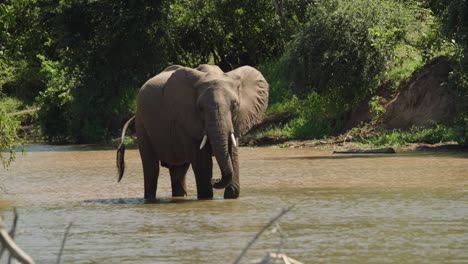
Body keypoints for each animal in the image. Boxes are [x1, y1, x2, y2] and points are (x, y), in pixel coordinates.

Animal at [116, 64, 268, 198]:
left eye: (235, 105)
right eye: (200, 108)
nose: (215, 179)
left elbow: (233, 155)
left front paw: (231, 196)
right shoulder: (186, 119)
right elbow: (202, 162)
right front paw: (207, 192)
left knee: (178, 171)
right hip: (142, 123)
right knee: (152, 169)